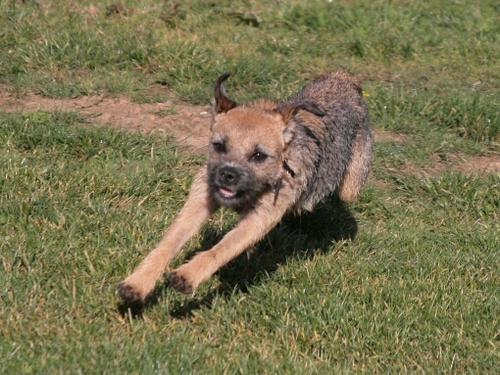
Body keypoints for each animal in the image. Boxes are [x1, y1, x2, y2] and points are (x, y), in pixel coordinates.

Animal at [118, 70, 372, 302]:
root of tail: (343, 77)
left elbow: (222, 248)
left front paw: (188, 275)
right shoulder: (201, 197)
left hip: (352, 183)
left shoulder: (260, 217)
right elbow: (170, 240)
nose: (227, 174)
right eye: (219, 146)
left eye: (259, 155)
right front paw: (138, 282)